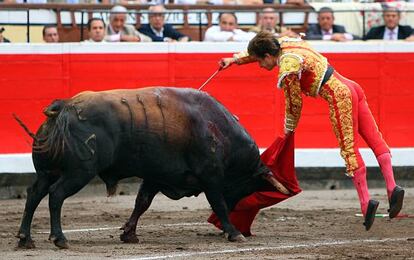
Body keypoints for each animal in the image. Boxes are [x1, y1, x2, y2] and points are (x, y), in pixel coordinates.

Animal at [16, 87, 270, 248]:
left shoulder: (156, 176)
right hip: (78, 173)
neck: (217, 128)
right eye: (246, 188)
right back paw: (59, 238)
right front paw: (234, 233)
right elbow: (218, 204)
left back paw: (25, 238)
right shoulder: (211, 177)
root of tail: (64, 107)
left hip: (47, 172)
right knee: (56, 195)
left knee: (34, 194)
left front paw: (129, 234)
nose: (233, 222)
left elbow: (142, 203)